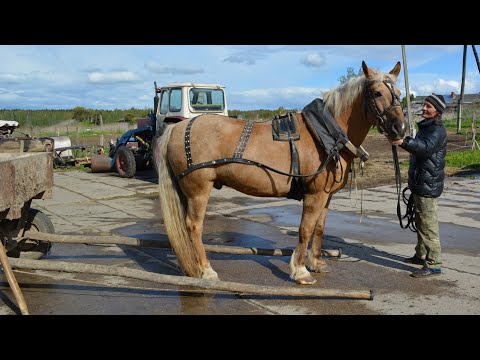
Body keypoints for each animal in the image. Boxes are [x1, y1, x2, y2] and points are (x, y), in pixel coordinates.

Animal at [153, 61, 404, 284]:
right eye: (377, 93)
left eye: (400, 93)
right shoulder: (314, 195)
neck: (326, 134)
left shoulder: (327, 196)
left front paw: (316, 262)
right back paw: (206, 271)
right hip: (198, 190)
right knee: (193, 227)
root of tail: (178, 128)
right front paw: (301, 271)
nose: (399, 129)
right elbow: (305, 229)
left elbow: (320, 228)